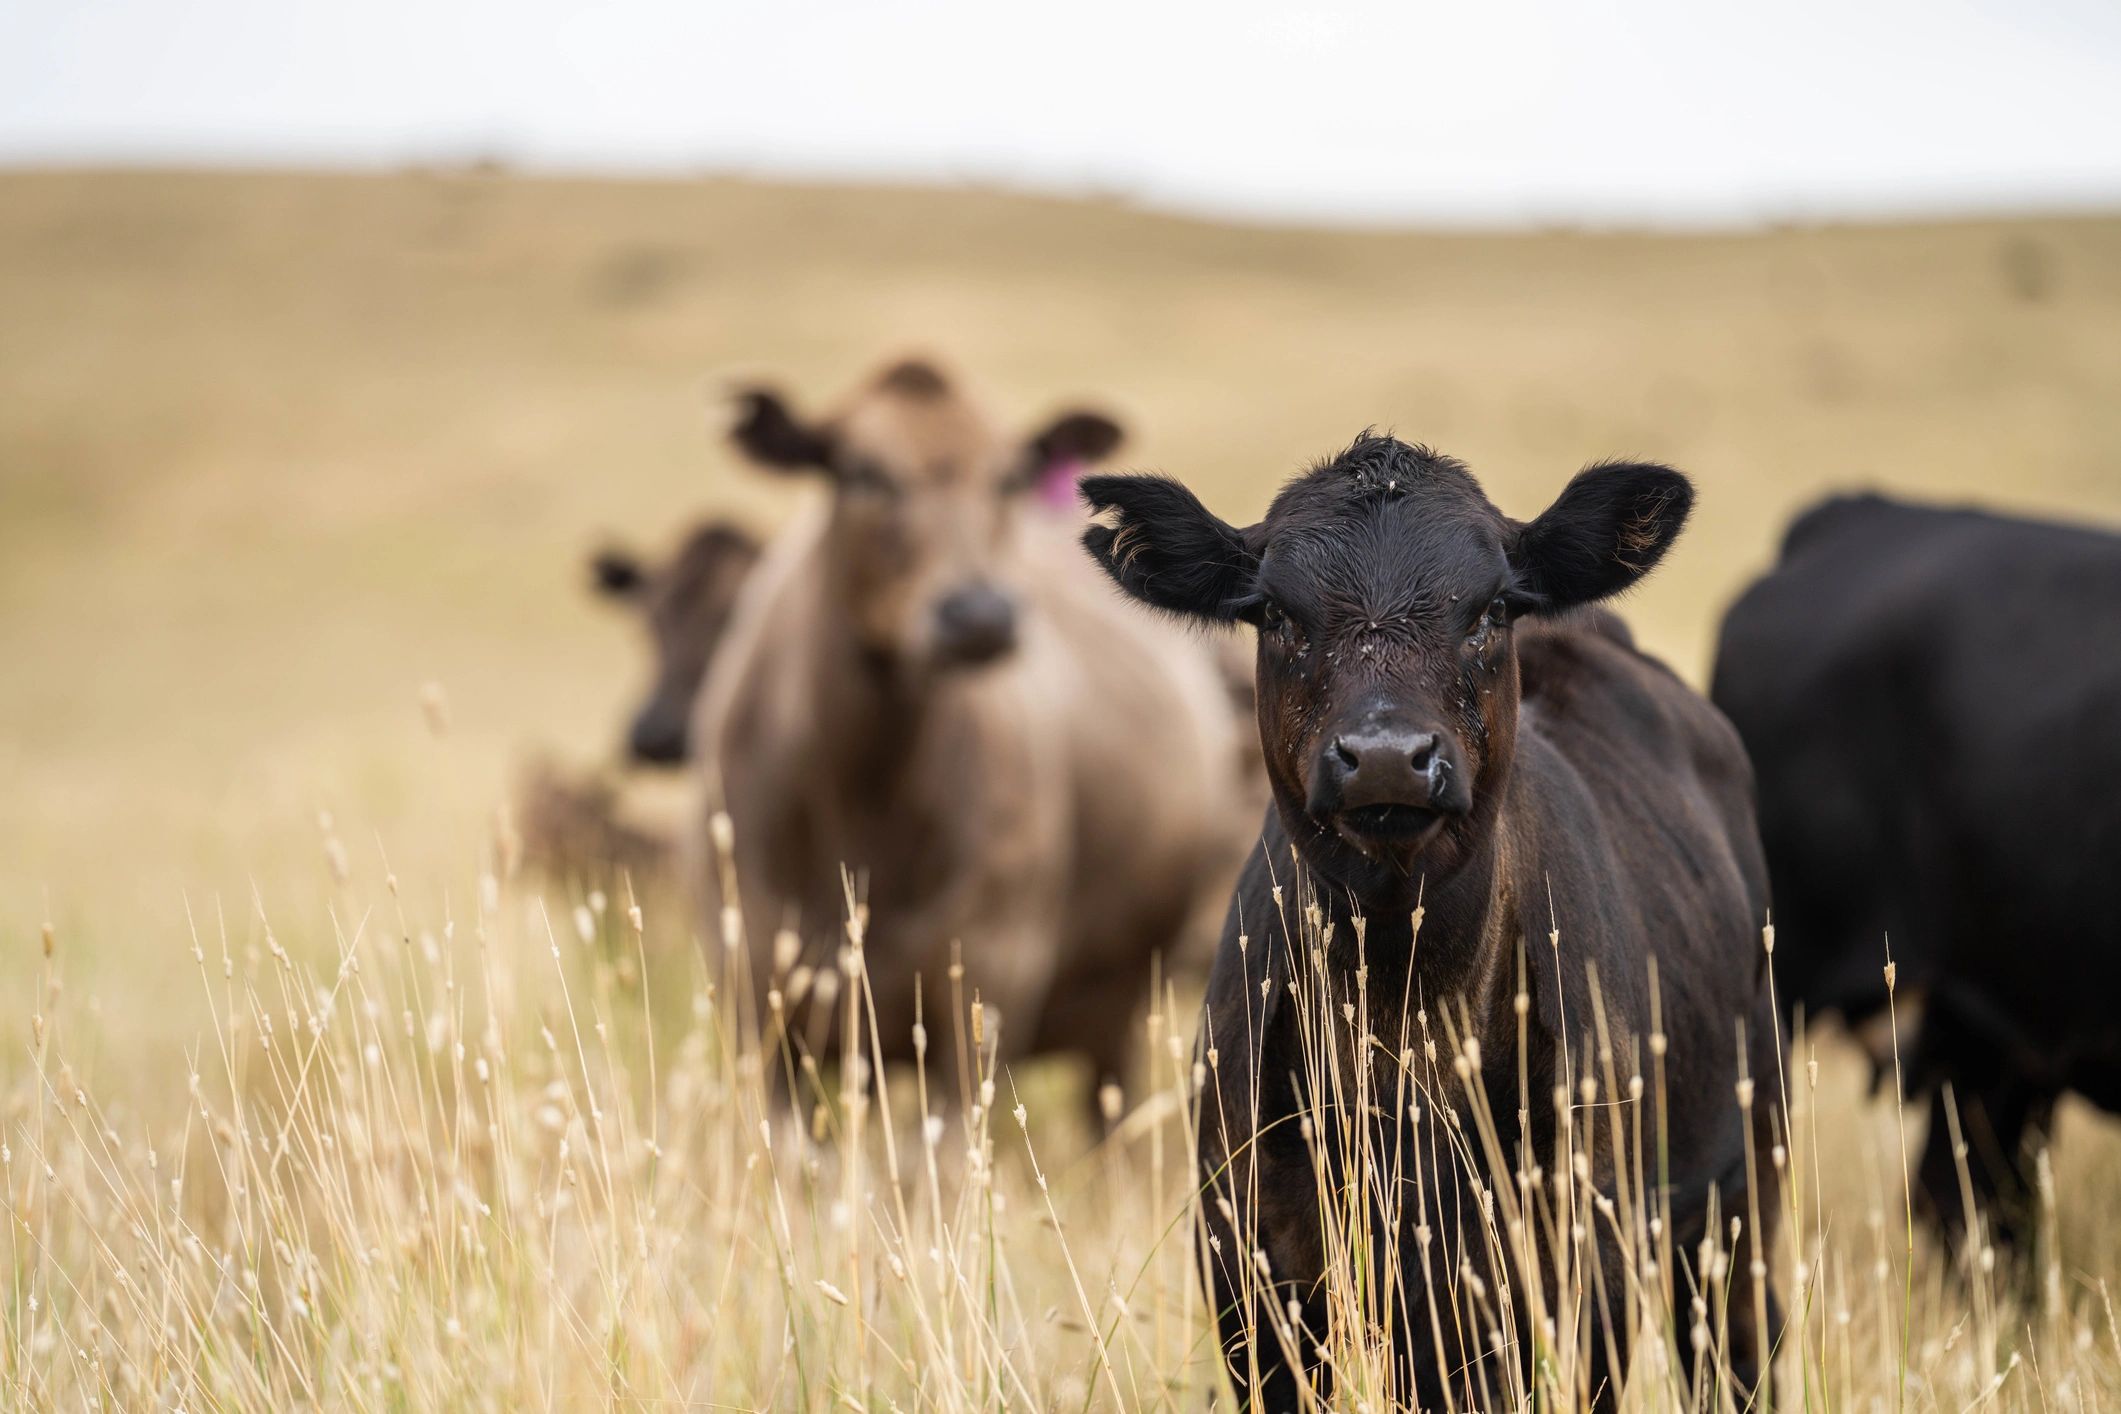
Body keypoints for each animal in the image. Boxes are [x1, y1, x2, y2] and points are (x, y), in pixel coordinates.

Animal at [689, 357, 1255, 1095]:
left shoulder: (981, 993)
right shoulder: (763, 1004)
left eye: (1008, 476)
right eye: (862, 471)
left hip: (1124, 1010)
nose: (978, 615)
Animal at [1081, 433, 1782, 1409]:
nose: (1385, 758)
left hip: (1740, 1194)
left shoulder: (1582, 1268)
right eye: (1274, 613)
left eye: (1490, 609)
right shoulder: (1249, 1276)